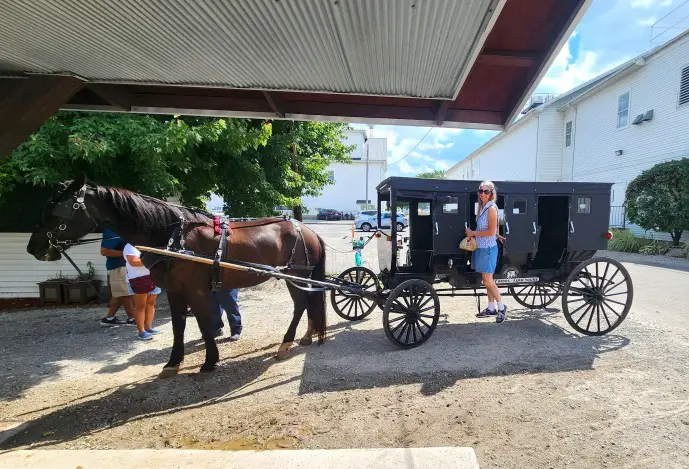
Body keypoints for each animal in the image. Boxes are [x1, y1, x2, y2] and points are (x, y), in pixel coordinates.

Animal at [25, 176, 326, 376]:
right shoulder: (175, 290)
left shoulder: (197, 291)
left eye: (58, 209)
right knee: (310, 303)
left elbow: (204, 324)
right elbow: (179, 326)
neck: (172, 236)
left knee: (300, 305)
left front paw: (209, 361)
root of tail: (307, 229)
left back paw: (286, 344)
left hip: (295, 276)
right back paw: (307, 336)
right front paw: (173, 362)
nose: (34, 247)